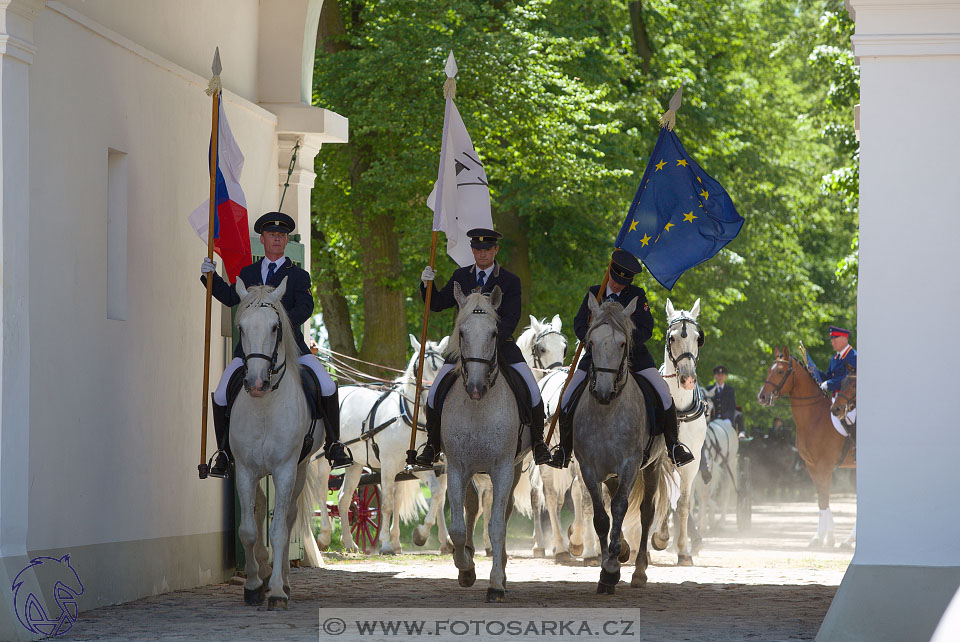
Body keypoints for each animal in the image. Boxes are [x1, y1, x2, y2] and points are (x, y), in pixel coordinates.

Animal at [231, 278, 324, 608]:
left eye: (275, 327)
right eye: (241, 327)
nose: (257, 384)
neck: (264, 407)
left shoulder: (285, 469)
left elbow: (280, 530)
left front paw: (277, 591)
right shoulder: (244, 470)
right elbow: (248, 529)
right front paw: (253, 585)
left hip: (300, 468)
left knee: (290, 515)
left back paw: (283, 579)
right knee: (259, 508)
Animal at [316, 332, 448, 552]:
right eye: (423, 368)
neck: (408, 418)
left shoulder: (419, 466)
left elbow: (436, 493)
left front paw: (421, 534)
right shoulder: (388, 466)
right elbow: (387, 504)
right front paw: (386, 543)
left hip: (354, 463)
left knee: (344, 499)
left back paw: (349, 542)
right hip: (324, 460)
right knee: (320, 491)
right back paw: (324, 536)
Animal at [442, 284, 524, 600]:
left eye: (493, 333)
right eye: (462, 332)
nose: (476, 388)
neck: (478, 408)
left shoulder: (502, 469)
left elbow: (497, 525)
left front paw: (496, 583)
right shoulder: (456, 468)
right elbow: (457, 527)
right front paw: (465, 567)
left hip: (514, 468)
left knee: (504, 511)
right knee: (472, 506)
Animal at [756, 344, 856, 544]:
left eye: (780, 371)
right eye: (769, 369)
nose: (762, 397)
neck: (815, 418)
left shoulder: (824, 465)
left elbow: (824, 496)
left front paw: (823, 537)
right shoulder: (812, 465)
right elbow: (821, 498)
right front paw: (824, 535)